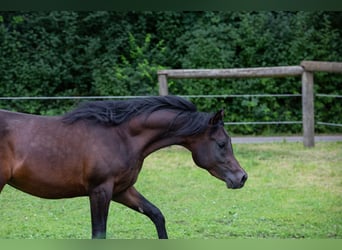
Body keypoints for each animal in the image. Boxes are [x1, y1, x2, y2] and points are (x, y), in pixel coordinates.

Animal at [0, 95, 246, 238]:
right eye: (222, 143)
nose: (242, 177)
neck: (121, 137)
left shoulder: (122, 190)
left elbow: (157, 215)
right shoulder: (100, 190)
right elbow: (99, 234)